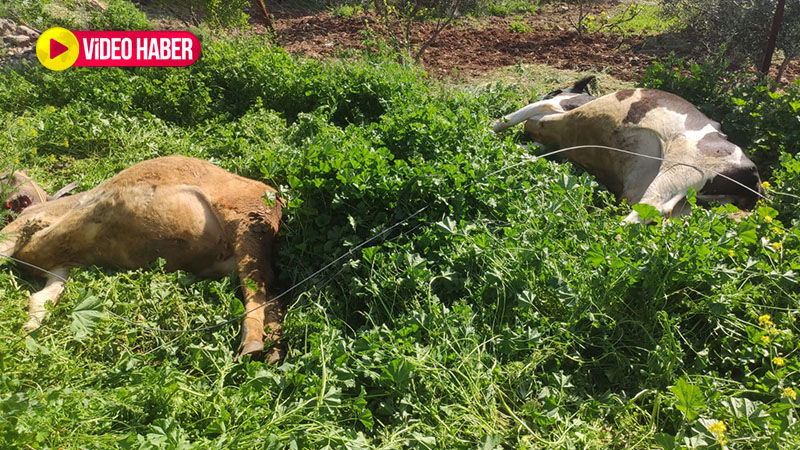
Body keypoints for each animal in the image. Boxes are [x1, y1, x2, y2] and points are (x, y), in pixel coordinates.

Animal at [0, 156, 284, 362]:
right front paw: (28, 330)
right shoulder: (61, 266)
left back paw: (252, 344)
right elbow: (45, 297)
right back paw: (272, 351)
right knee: (269, 289)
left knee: (256, 285)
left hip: (246, 219)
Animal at [494, 79, 764, 225]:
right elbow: (532, 147)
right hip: (691, 203)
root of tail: (755, 176)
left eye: (555, 89)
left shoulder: (556, 107)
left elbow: (513, 116)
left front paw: (491, 129)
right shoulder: (554, 142)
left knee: (651, 206)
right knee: (664, 216)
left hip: (681, 168)